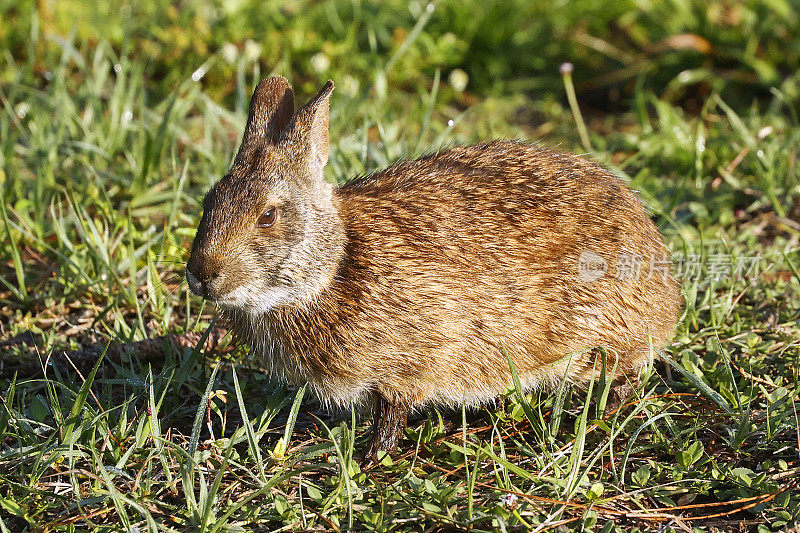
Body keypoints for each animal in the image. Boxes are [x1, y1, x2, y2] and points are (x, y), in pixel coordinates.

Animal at [188, 76, 680, 462]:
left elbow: (391, 416)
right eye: (210, 200)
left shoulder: (407, 367)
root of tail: (668, 290)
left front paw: (370, 459)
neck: (334, 265)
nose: (202, 274)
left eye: (268, 217)